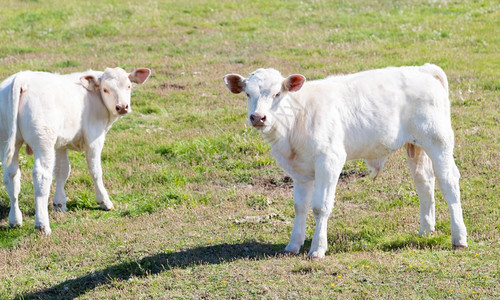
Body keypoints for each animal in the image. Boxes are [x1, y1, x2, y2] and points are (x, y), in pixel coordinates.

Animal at [0, 67, 151, 234]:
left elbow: (62, 171)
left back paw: (15, 220)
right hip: (43, 142)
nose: (122, 107)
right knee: (41, 176)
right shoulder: (94, 138)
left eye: (129, 86)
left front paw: (59, 203)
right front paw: (104, 201)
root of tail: (22, 77)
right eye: (105, 89)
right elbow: (95, 170)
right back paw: (42, 225)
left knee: (11, 176)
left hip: (7, 140)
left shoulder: (60, 145)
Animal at [225, 63, 466, 260]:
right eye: (248, 93)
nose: (258, 117)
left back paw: (459, 238)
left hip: (439, 141)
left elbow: (320, 207)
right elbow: (300, 207)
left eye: (277, 93)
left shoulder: (329, 161)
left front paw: (317, 249)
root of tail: (423, 69)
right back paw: (426, 231)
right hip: (416, 146)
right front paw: (293, 245)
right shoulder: (299, 172)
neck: (295, 121)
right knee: (424, 183)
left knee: (449, 183)